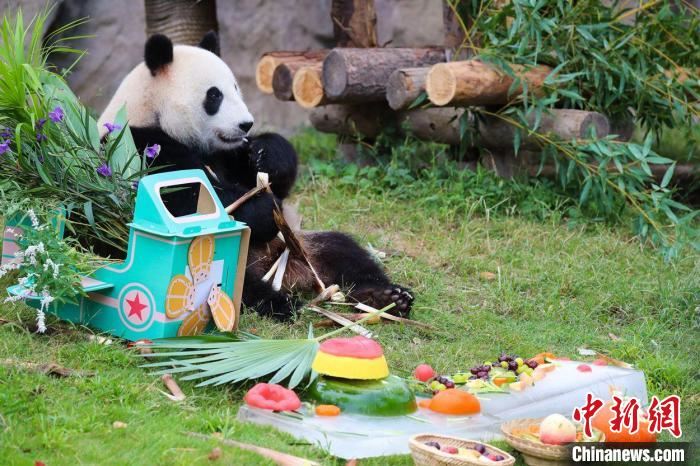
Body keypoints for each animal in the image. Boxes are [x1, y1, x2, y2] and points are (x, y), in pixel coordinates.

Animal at [98, 32, 416, 320]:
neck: (151, 110)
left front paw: (267, 155)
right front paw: (262, 211)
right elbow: (184, 199)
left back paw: (387, 296)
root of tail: (282, 271)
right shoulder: (137, 145)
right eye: (214, 95)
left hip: (299, 244)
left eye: (236, 88)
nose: (245, 124)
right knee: (235, 288)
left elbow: (268, 175)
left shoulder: (229, 153)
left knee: (344, 252)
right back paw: (281, 303)